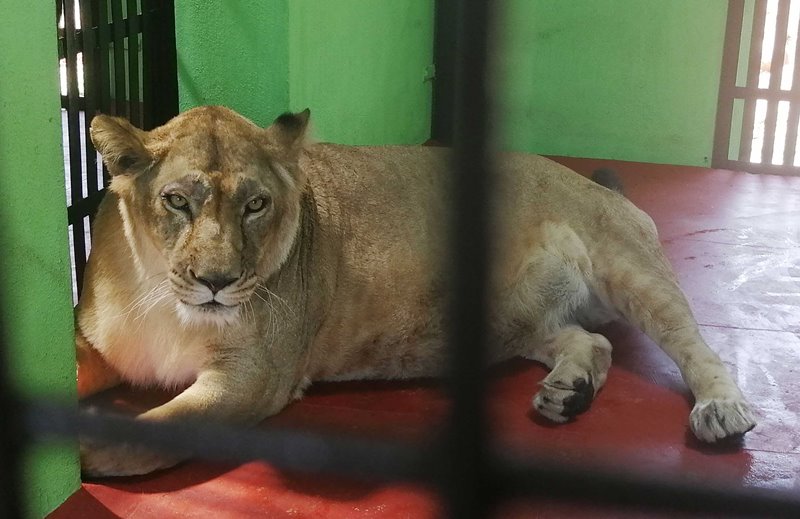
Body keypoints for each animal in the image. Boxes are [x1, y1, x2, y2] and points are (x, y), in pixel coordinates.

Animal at [77, 106, 756, 476]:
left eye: (256, 205)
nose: (216, 283)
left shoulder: (253, 378)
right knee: (592, 341)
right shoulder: (94, 338)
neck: (162, 297)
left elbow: (144, 432)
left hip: (630, 266)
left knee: (697, 346)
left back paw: (721, 412)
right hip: (522, 320)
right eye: (176, 201)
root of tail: (592, 182)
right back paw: (569, 393)